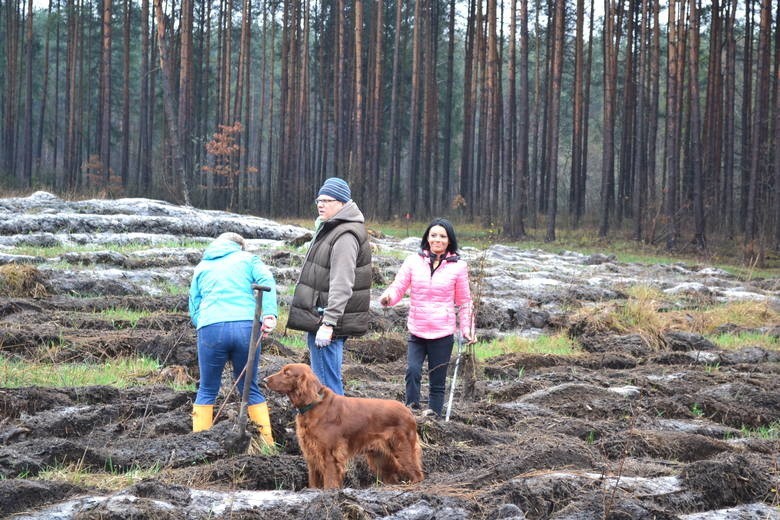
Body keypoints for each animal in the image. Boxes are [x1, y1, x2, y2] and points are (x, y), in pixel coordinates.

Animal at [266, 362, 424, 488]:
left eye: (287, 373)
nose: (265, 380)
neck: (314, 404)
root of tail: (408, 410)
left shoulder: (329, 454)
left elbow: (330, 481)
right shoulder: (311, 454)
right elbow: (313, 480)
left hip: (402, 448)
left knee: (417, 474)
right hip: (380, 457)